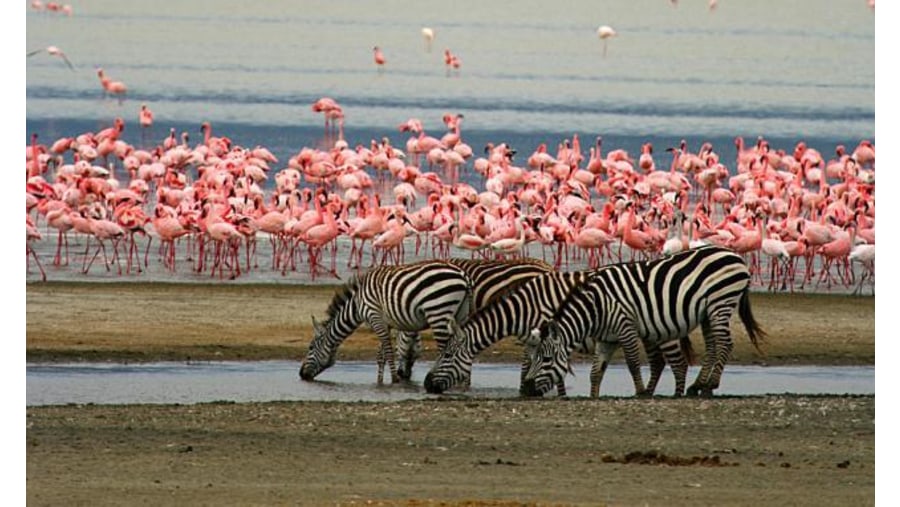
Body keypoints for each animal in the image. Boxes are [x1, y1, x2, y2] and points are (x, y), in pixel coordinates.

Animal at [300, 262, 474, 384]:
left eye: (310, 347)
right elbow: (380, 355)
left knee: (444, 348)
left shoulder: (375, 317)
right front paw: (379, 381)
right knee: (463, 346)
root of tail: (463, 275)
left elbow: (389, 352)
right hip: (459, 315)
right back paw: (463, 383)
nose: (301, 375)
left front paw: (394, 379)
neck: (357, 304)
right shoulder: (385, 323)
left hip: (438, 311)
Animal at [520, 244, 768, 398]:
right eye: (535, 357)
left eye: (547, 359)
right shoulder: (606, 339)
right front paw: (594, 396)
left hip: (720, 303)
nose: (528, 389)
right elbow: (596, 372)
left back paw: (710, 385)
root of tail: (734, 255)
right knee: (712, 346)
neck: (596, 306)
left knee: (725, 344)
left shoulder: (625, 327)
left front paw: (640, 392)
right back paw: (697, 385)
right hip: (708, 312)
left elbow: (632, 362)